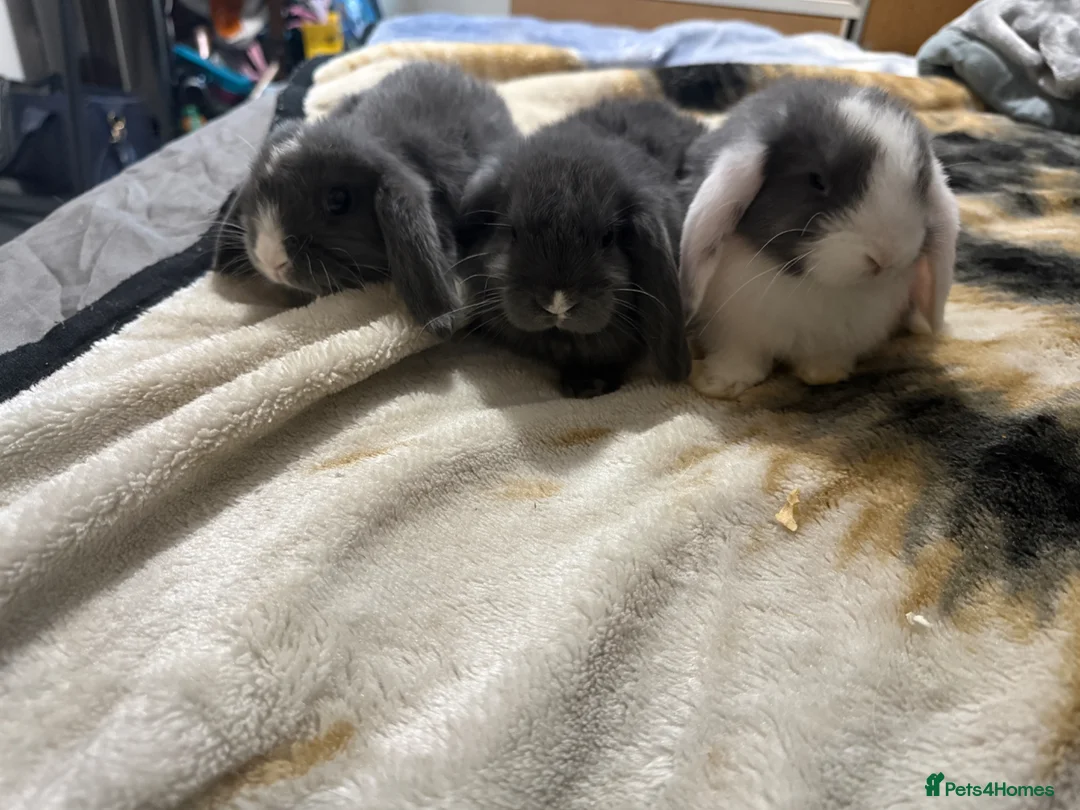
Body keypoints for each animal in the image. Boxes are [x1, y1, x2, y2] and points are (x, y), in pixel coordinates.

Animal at [678, 78, 959, 399]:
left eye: (920, 183)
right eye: (817, 180)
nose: (886, 257)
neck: (816, 286)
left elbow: (827, 357)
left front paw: (824, 374)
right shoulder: (734, 331)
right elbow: (740, 357)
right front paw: (717, 383)